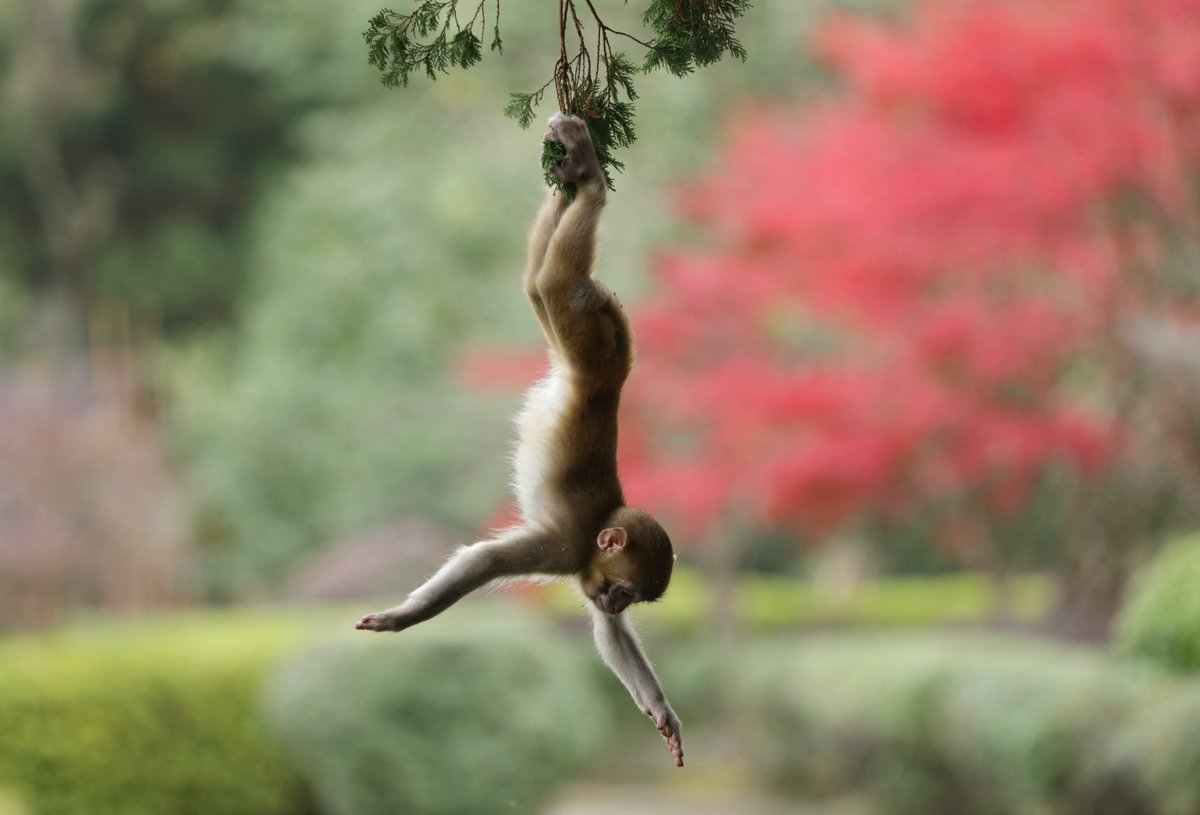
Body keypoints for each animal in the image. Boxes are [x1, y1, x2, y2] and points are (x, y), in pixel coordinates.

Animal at [356, 113, 683, 767]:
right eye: (625, 590)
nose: (616, 601)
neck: (596, 537)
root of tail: (609, 379)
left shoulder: (583, 570)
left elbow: (608, 636)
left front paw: (662, 713)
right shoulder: (566, 549)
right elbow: (483, 562)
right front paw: (404, 619)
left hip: (585, 331)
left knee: (538, 278)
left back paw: (566, 173)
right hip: (584, 331)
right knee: (557, 278)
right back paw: (588, 179)